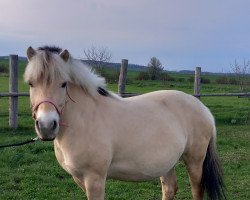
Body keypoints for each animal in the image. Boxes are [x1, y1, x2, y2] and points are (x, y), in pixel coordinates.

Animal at [24, 46, 226, 199]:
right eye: (31, 83)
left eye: (63, 84)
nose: (46, 126)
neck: (84, 120)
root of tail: (203, 109)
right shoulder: (79, 179)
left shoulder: (95, 179)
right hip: (169, 162)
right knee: (169, 189)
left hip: (195, 161)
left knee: (197, 191)